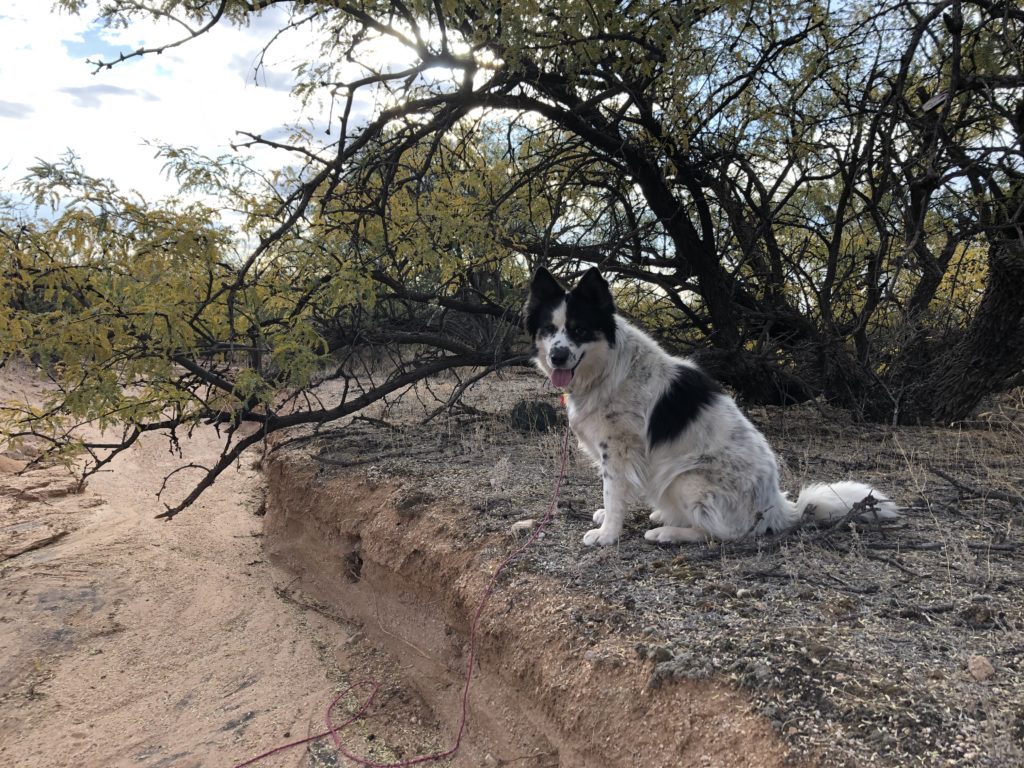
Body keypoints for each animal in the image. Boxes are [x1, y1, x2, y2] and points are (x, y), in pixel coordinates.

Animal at [528, 268, 897, 548]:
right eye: (549, 330)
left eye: (578, 329)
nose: (557, 356)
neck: (606, 368)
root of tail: (778, 507)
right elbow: (616, 493)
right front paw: (608, 522)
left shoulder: (619, 450)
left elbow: (613, 492)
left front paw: (607, 535)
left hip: (687, 478)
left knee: (722, 533)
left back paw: (667, 532)